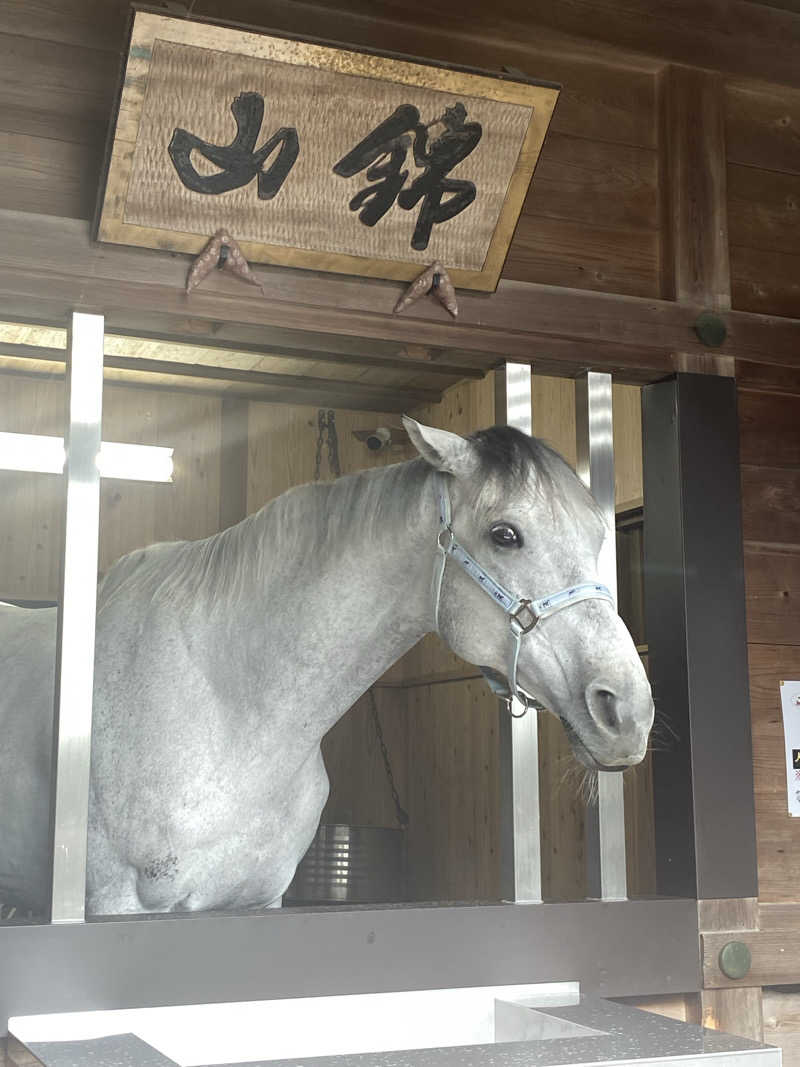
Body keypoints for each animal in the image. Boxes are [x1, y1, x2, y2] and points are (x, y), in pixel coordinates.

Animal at [0, 418, 652, 917]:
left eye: (598, 536)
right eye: (505, 534)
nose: (628, 711)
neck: (229, 713)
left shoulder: (259, 904)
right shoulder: (117, 907)